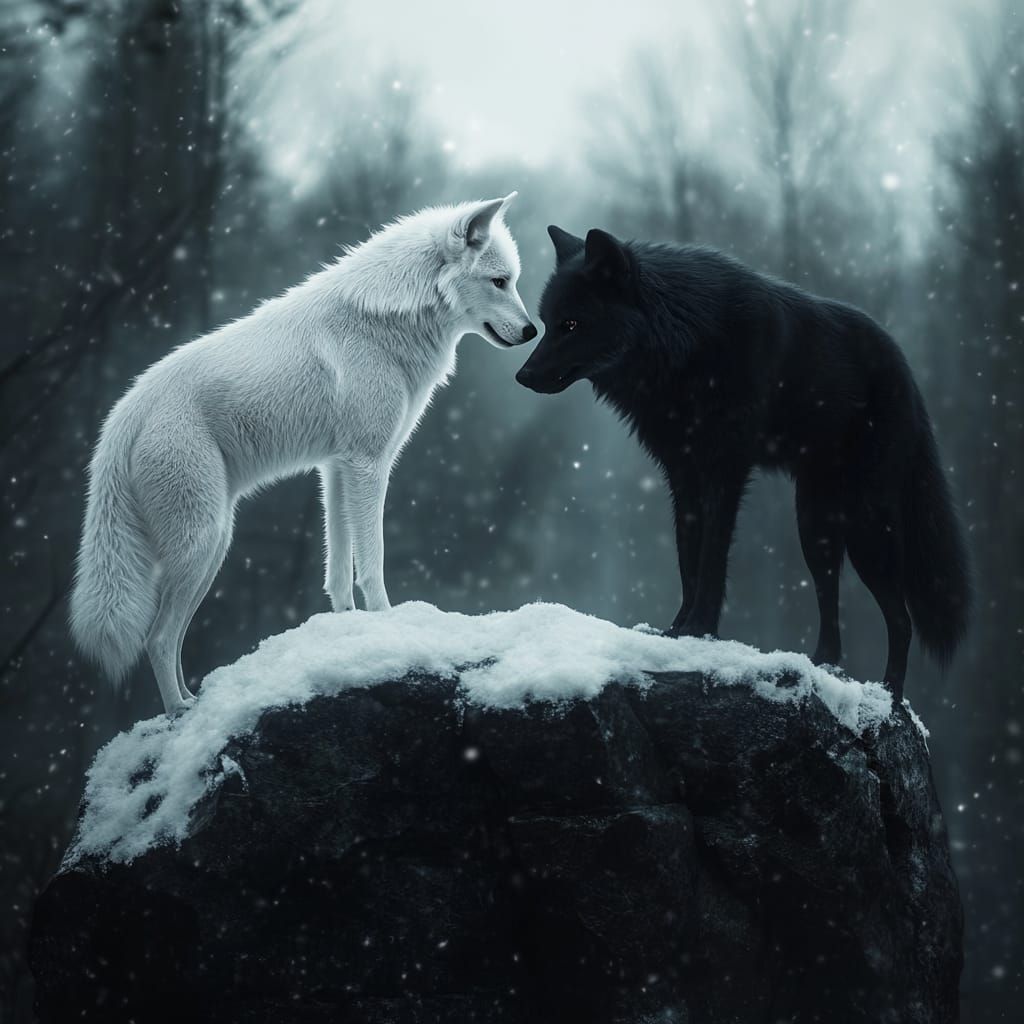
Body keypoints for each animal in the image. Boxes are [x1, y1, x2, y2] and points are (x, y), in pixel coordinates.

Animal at [71, 194, 535, 715]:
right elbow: (371, 565)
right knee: (157, 638)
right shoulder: (368, 466)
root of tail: (122, 417)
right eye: (501, 281)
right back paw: (179, 712)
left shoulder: (336, 468)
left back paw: (191, 700)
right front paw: (388, 625)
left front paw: (346, 630)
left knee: (169, 637)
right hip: (203, 543)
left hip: (213, 547)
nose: (533, 330)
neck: (388, 317)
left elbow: (338, 571)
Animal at [516, 226, 970, 697]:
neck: (686, 344)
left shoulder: (725, 470)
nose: (522, 376)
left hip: (866, 528)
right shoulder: (683, 475)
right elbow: (688, 557)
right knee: (832, 607)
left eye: (571, 324)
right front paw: (676, 632)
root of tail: (906, 370)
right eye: (547, 323)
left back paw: (889, 696)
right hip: (815, 527)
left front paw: (699, 630)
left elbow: (712, 558)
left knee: (902, 619)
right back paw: (820, 666)